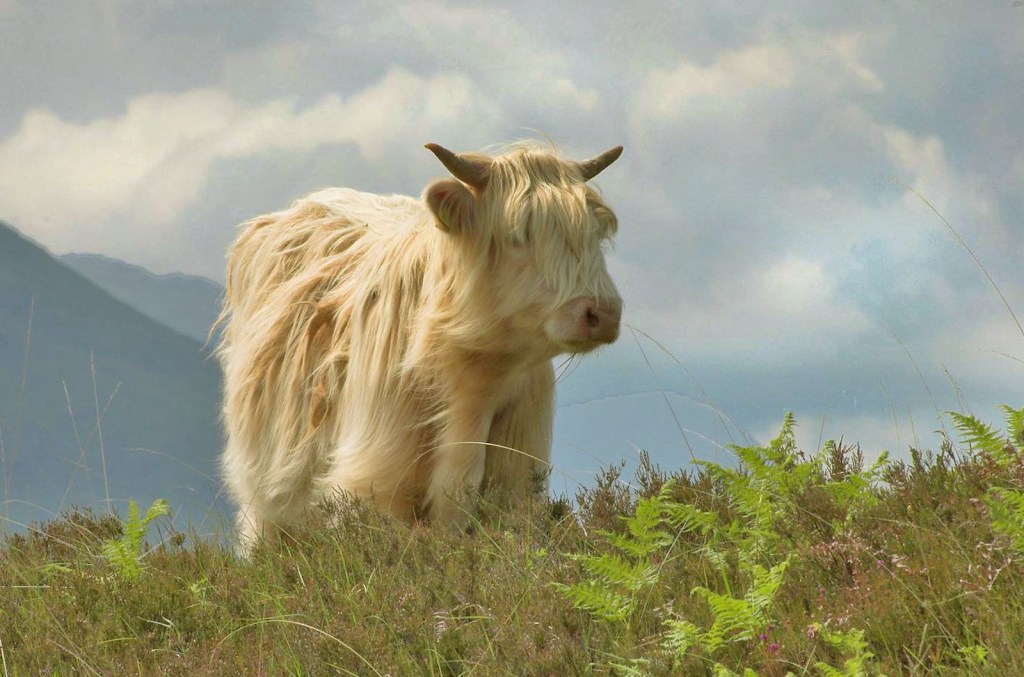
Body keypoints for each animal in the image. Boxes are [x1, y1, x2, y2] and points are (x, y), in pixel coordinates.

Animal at [218, 141, 624, 552]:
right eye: (518, 231)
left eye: (597, 232)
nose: (602, 312)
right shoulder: (378, 488)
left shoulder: (517, 486)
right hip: (264, 498)